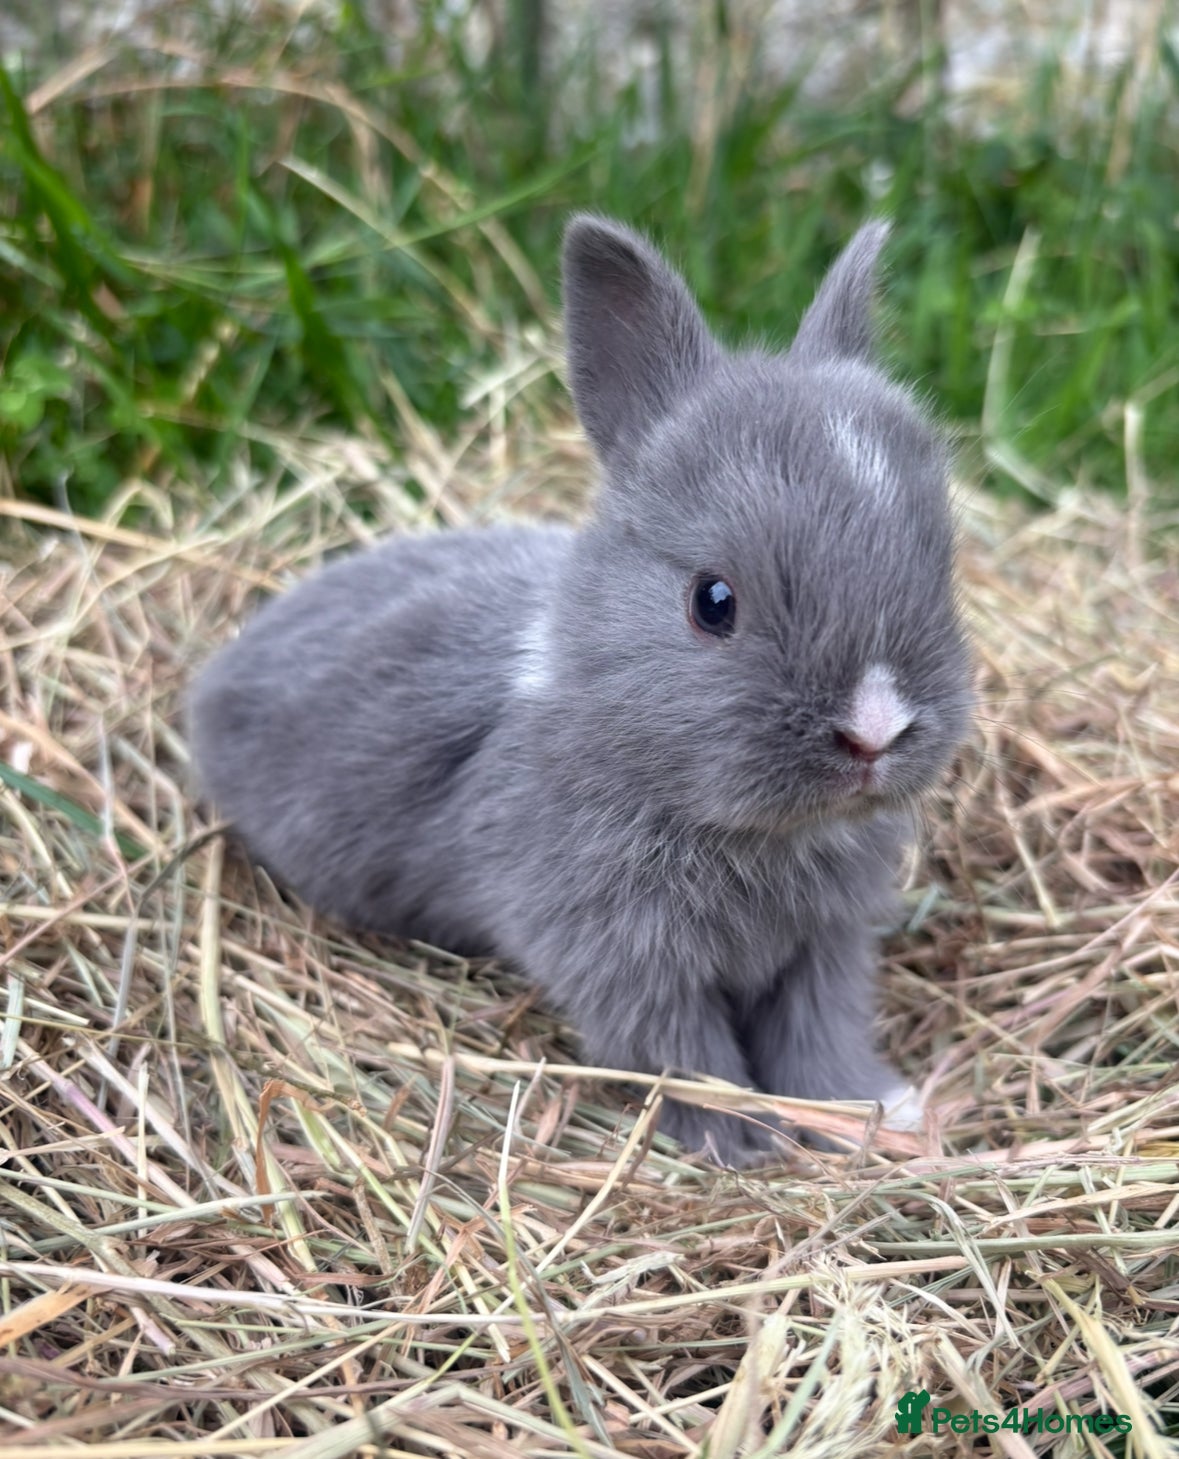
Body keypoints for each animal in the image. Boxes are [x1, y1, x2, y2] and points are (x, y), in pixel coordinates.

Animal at [190, 214, 972, 1166]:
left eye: (940, 569)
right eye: (713, 601)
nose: (874, 729)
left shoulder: (824, 950)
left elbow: (818, 1039)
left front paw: (875, 1112)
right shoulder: (626, 961)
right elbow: (687, 1055)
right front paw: (738, 1143)